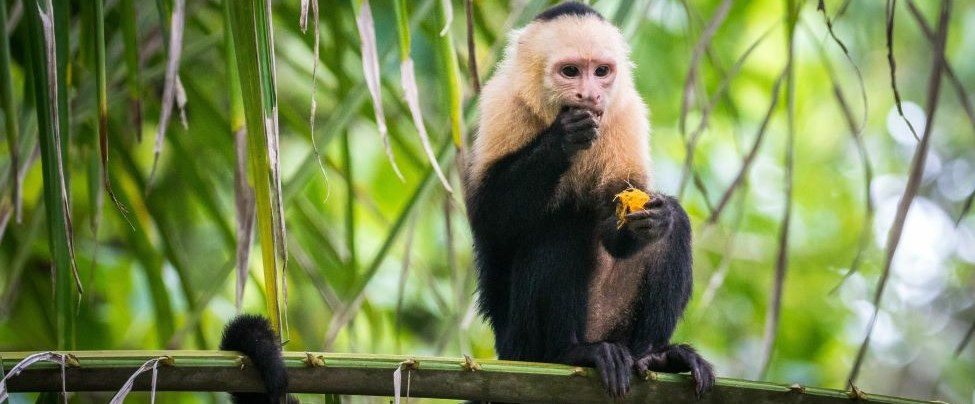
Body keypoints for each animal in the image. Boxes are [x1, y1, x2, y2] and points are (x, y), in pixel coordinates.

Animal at [464, 2, 715, 398]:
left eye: (601, 72)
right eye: (570, 72)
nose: (591, 95)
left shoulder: (627, 111)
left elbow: (619, 219)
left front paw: (653, 221)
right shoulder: (502, 104)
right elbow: (490, 219)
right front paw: (563, 139)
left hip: (619, 331)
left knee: (670, 230)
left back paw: (658, 356)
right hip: (521, 344)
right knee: (561, 225)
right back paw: (571, 352)